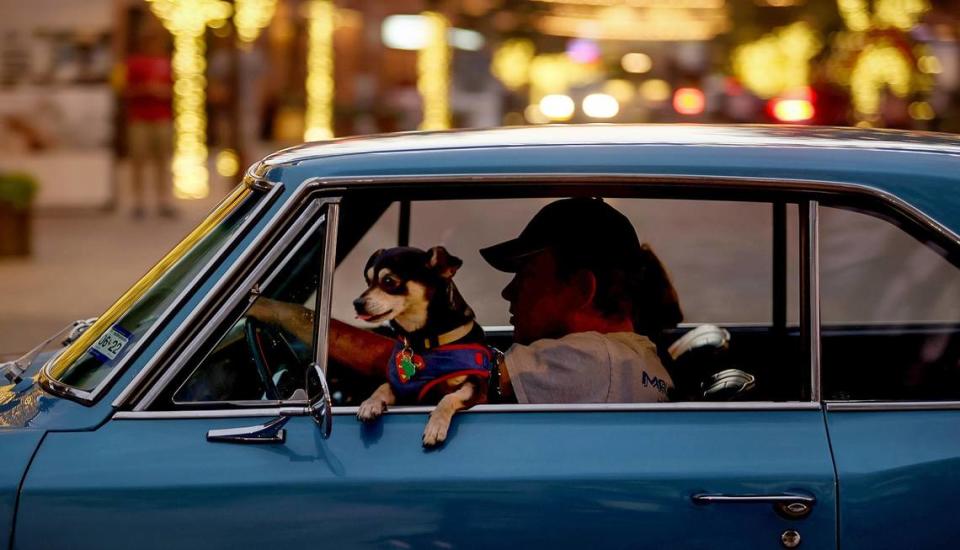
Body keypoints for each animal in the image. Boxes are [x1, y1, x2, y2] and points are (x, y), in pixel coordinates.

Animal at [352, 248, 492, 450]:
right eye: (368, 281)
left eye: (388, 281)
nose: (357, 303)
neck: (421, 339)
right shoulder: (403, 390)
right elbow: (383, 386)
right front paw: (370, 403)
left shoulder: (475, 386)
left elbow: (448, 398)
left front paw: (436, 425)